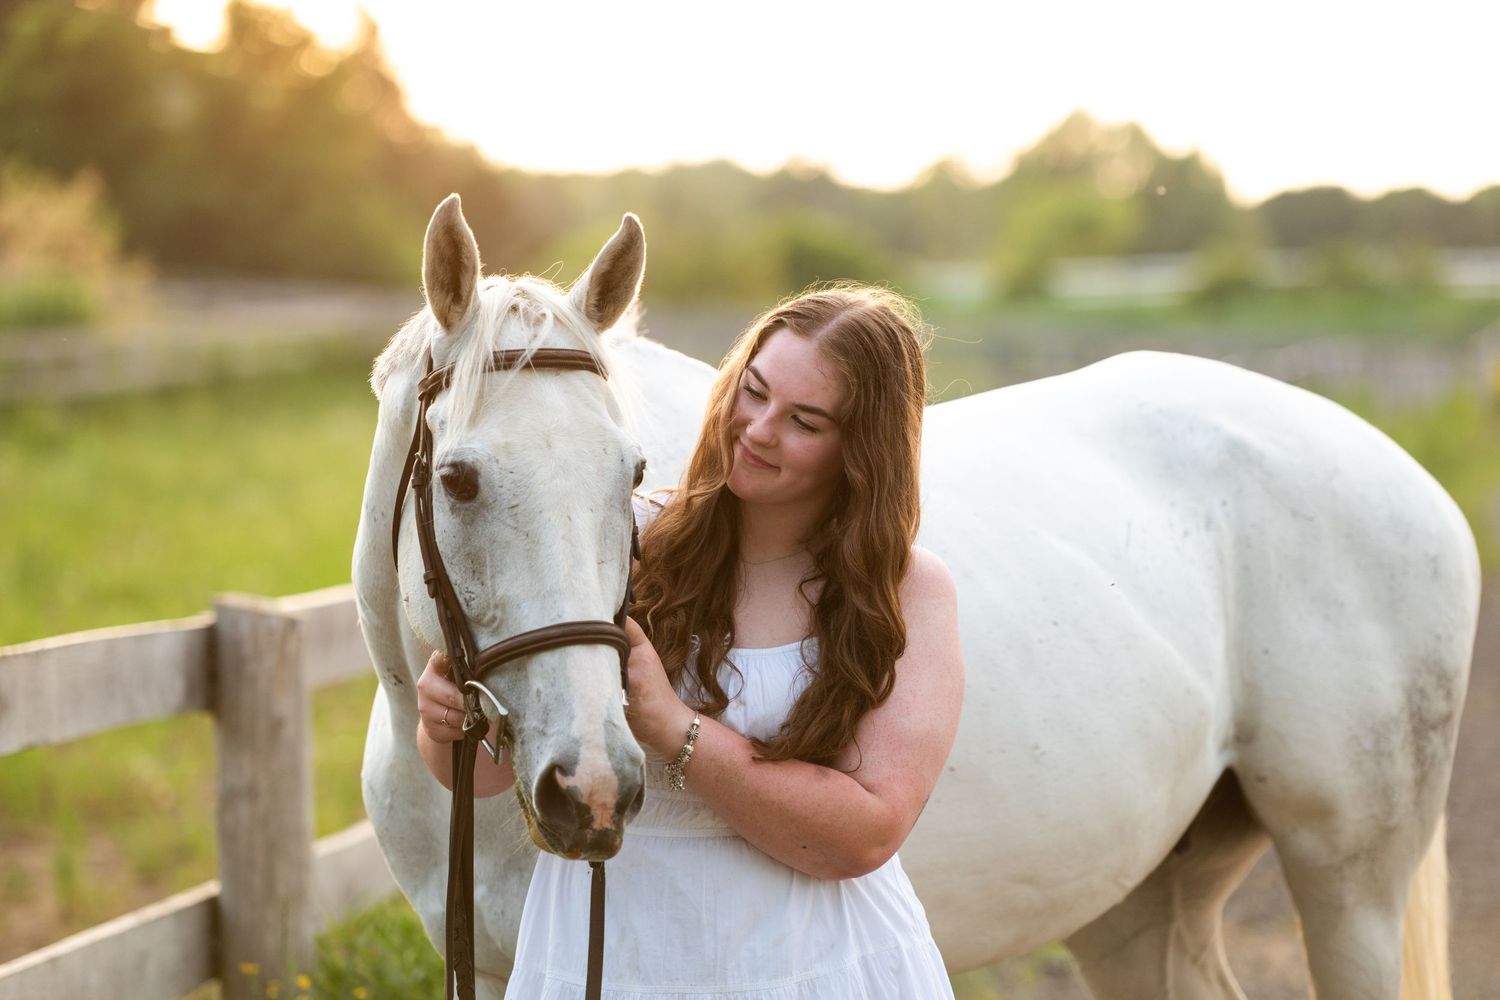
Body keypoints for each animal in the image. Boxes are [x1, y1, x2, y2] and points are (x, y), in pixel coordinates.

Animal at [353, 195, 1480, 1000]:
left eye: (630, 474)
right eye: (459, 480)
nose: (590, 787)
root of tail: (1407, 477)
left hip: (1352, 886)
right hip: (1143, 899)